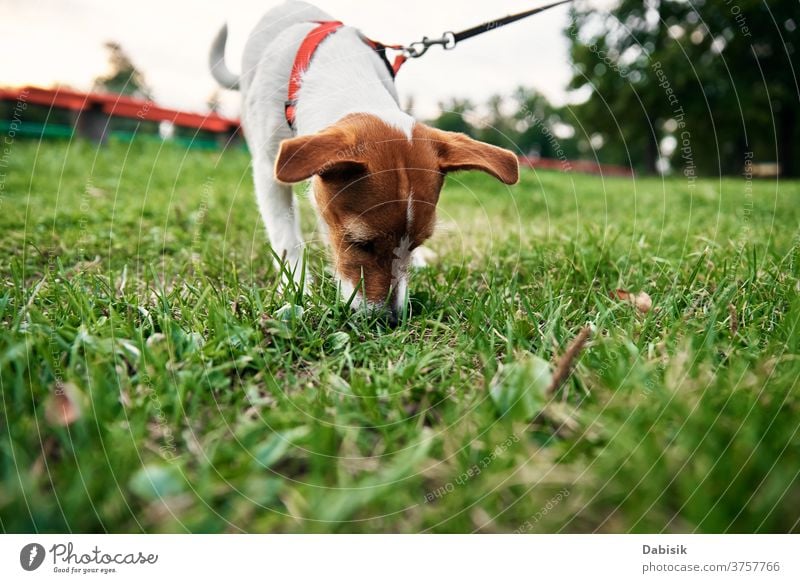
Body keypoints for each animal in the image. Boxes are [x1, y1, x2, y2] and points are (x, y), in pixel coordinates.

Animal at [209, 0, 520, 324]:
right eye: (361, 243)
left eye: (418, 242)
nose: (389, 320)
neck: (342, 74)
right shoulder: (268, 168)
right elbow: (286, 237)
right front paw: (296, 288)